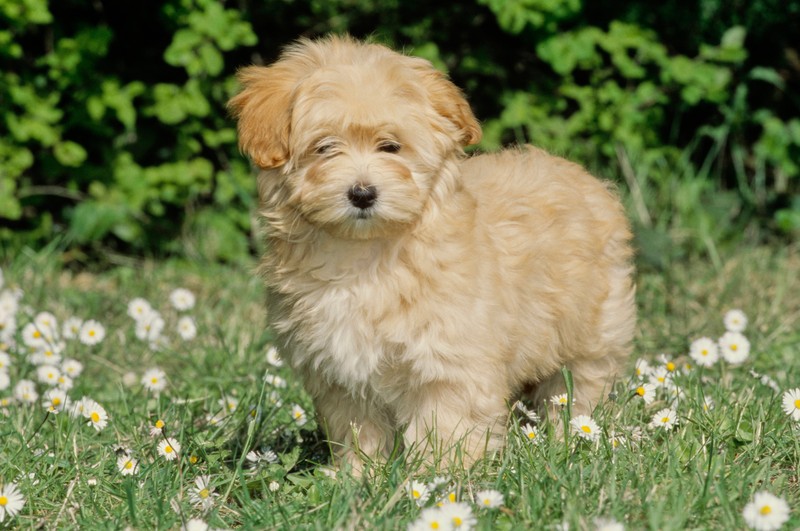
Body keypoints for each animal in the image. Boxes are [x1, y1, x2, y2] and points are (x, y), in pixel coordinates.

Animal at [227, 35, 636, 472]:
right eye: (324, 148)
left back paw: (570, 439)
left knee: (579, 386)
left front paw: (436, 477)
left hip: (592, 330)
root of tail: (587, 179)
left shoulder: (448, 361)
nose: (362, 193)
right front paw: (358, 475)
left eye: (390, 147)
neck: (364, 256)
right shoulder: (342, 373)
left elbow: (446, 427)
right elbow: (359, 428)